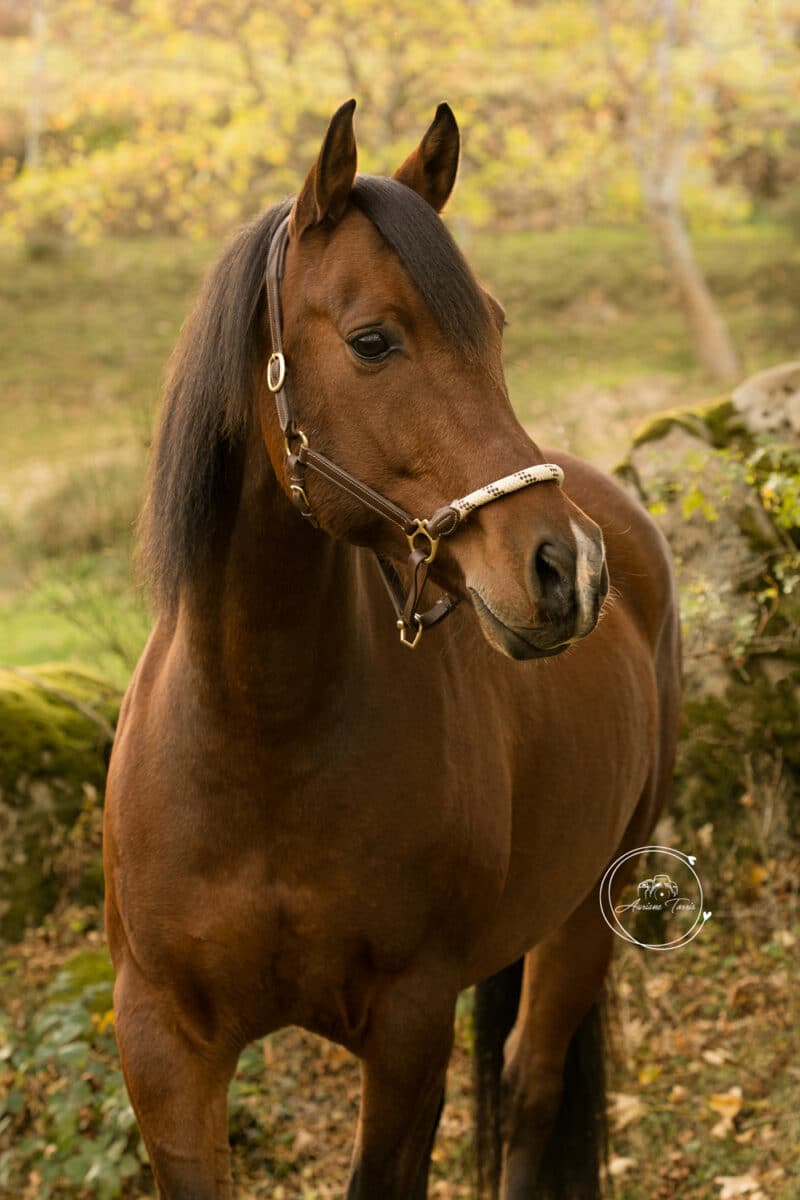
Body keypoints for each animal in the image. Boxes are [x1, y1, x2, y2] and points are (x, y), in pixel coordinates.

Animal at [103, 98, 681, 1195]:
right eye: (372, 341)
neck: (258, 731)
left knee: (532, 1091)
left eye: (493, 326)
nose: (565, 568)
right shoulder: (162, 1049)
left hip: (591, 912)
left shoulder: (411, 1030)